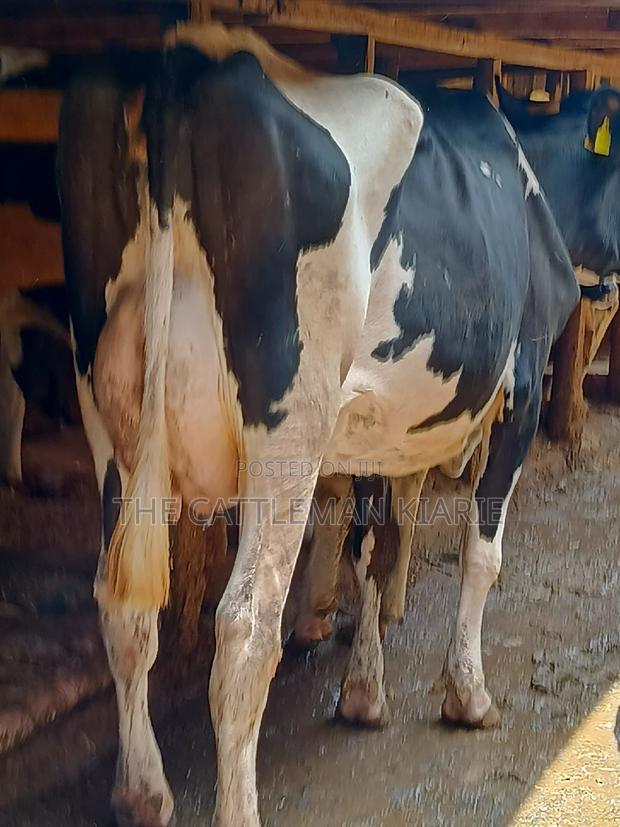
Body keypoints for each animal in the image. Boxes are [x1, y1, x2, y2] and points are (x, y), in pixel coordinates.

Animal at [57, 23, 577, 827]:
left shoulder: (367, 427)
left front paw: (364, 693)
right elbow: (479, 553)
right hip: (286, 420)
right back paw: (234, 807)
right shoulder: (520, 383)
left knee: (123, 610)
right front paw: (467, 693)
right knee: (244, 629)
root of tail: (189, 55)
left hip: (110, 417)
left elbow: (367, 549)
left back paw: (142, 792)